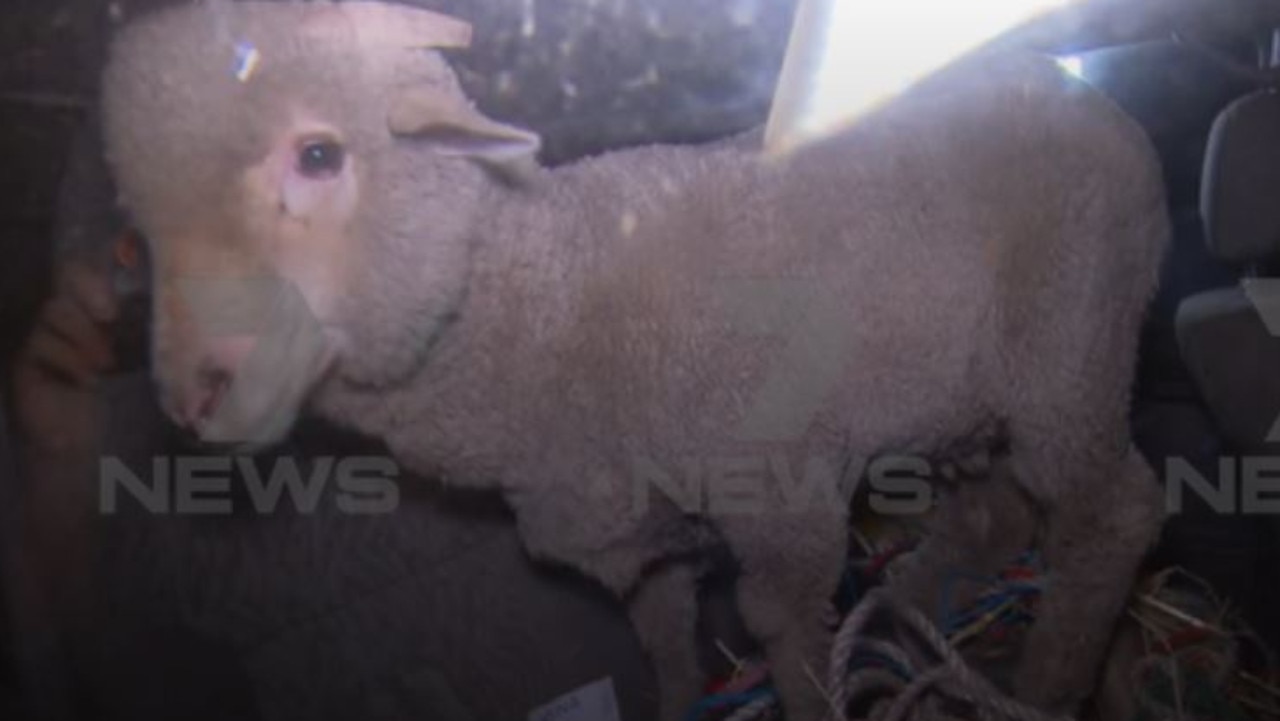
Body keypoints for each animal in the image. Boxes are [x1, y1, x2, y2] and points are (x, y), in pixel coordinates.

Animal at [99, 2, 1172, 717]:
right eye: (138, 233)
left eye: (317, 156)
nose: (193, 395)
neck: (547, 303)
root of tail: (1083, 93)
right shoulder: (645, 547)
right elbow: (663, 641)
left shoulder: (777, 491)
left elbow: (782, 626)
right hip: (960, 397)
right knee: (997, 512)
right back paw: (918, 611)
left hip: (1071, 345)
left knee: (1111, 513)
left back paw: (1046, 680)